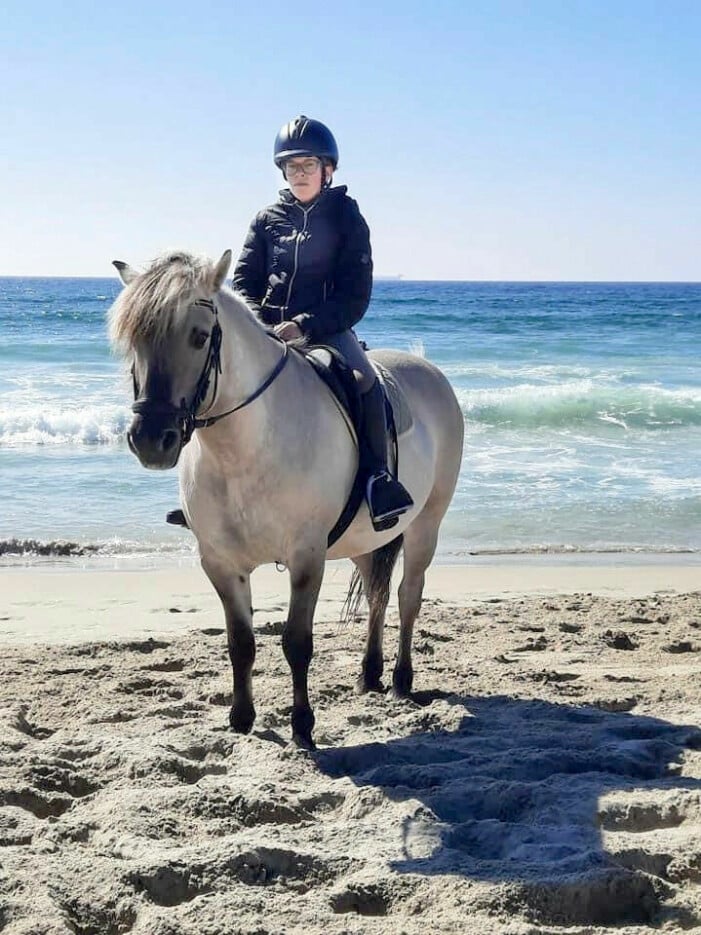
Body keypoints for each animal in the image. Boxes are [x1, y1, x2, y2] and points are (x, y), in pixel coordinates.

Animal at [109, 250, 464, 748]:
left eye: (199, 337)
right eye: (132, 342)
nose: (150, 440)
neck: (246, 449)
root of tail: (427, 369)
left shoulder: (306, 558)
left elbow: (297, 643)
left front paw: (302, 726)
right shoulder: (220, 563)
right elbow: (240, 643)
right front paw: (241, 718)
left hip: (426, 524)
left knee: (407, 595)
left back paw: (400, 679)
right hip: (364, 540)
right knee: (375, 594)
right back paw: (369, 674)